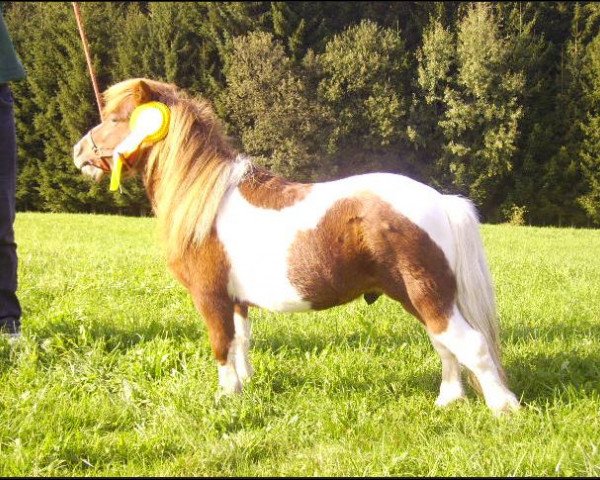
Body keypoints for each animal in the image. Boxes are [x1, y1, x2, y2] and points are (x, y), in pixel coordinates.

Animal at [71, 78, 520, 412]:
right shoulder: (237, 301)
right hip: (417, 295)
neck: (206, 199)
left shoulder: (210, 296)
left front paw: (225, 396)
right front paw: (244, 387)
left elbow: (221, 345)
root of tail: (440, 200)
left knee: (470, 344)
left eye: (117, 118)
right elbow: (241, 341)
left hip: (428, 294)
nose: (78, 151)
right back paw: (449, 400)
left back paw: (503, 408)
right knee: (445, 344)